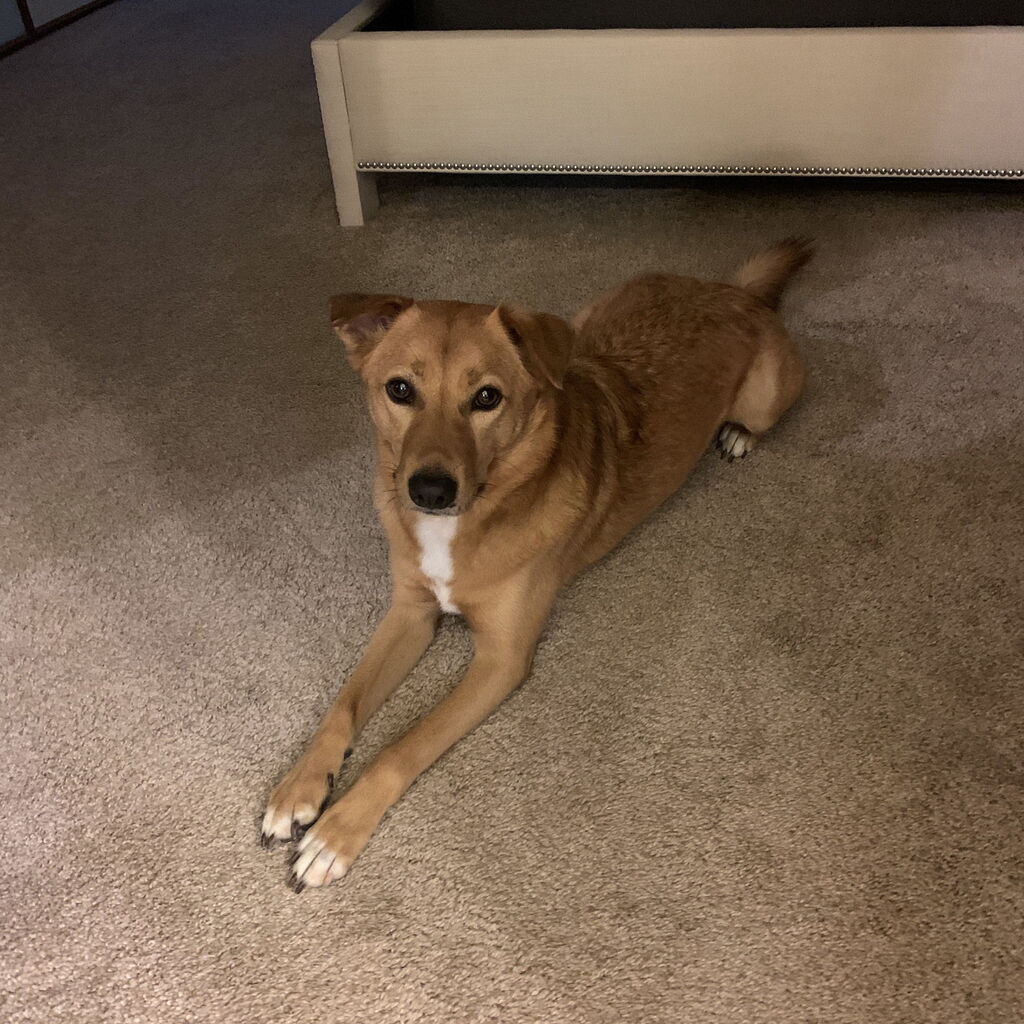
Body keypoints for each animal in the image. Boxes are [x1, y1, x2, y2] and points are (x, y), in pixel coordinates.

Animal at [261, 238, 812, 889]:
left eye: (487, 397)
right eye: (399, 390)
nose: (428, 490)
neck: (471, 517)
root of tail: (733, 292)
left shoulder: (501, 660)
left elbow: (401, 749)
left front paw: (334, 833)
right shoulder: (411, 613)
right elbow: (344, 706)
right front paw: (301, 786)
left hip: (766, 395)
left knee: (759, 418)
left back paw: (739, 435)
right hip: (582, 322)